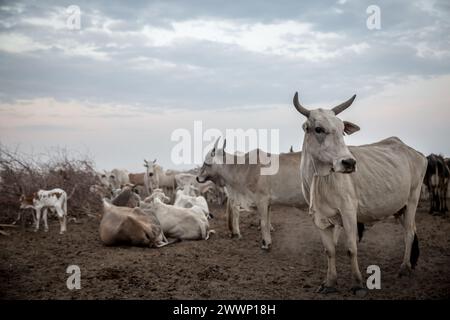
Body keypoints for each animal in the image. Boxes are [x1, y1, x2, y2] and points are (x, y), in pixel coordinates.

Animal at [292, 90, 426, 296]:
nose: (349, 163)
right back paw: (411, 263)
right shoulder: (318, 218)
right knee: (410, 230)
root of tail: (414, 152)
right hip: (400, 208)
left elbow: (351, 248)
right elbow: (329, 251)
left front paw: (357, 283)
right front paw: (330, 283)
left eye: (342, 129)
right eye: (319, 129)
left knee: (409, 233)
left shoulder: (348, 212)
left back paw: (404, 268)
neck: (320, 179)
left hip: (412, 199)